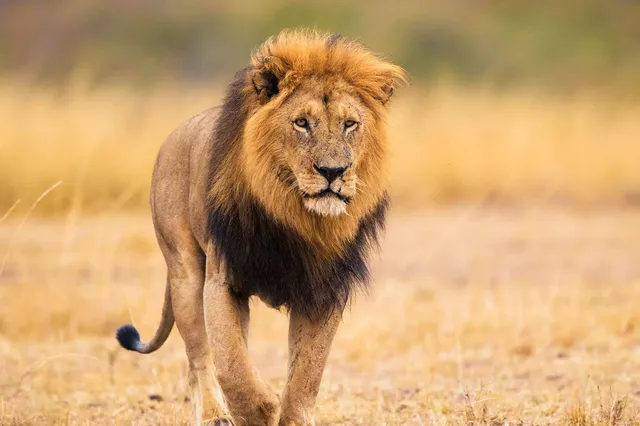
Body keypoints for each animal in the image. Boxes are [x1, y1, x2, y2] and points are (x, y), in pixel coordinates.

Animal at [115, 30, 407, 426]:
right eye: (302, 123)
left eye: (350, 124)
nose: (333, 172)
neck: (296, 218)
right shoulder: (224, 279)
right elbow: (230, 364)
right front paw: (259, 409)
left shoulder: (324, 289)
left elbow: (307, 373)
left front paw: (292, 415)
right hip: (184, 273)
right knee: (199, 355)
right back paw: (213, 414)